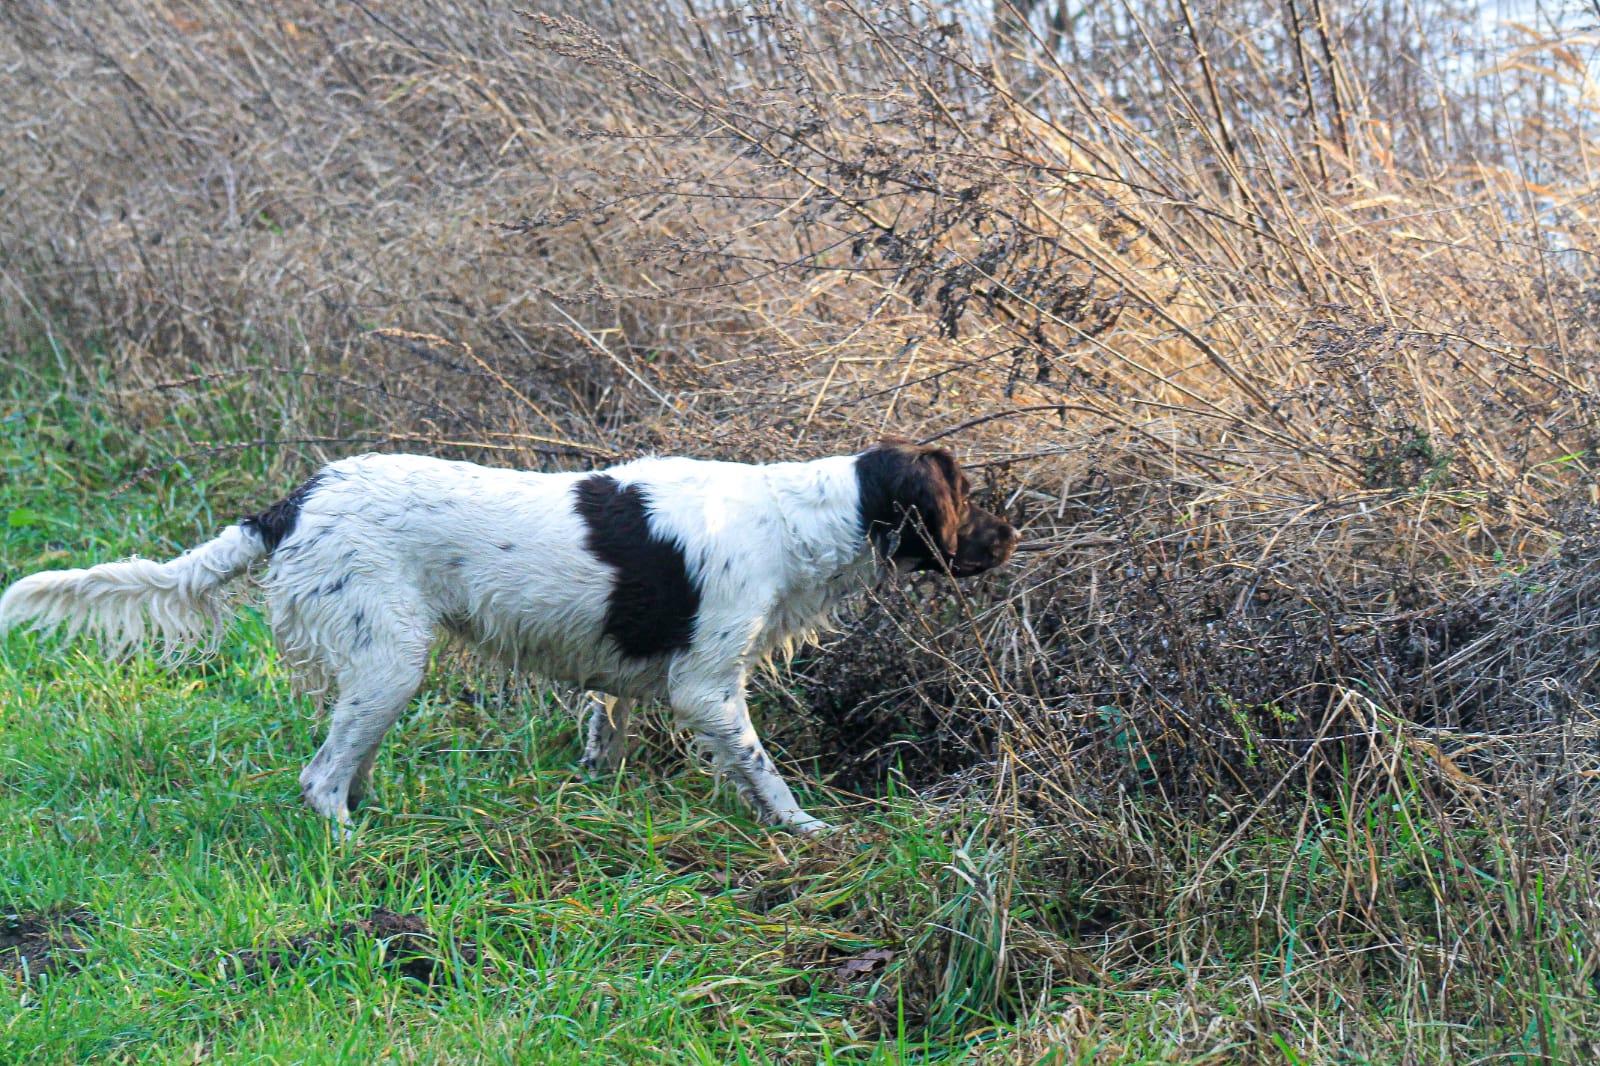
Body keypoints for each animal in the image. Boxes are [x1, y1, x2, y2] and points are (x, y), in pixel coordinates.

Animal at [0, 438, 1017, 832]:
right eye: (966, 499)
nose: (1013, 538)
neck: (801, 517)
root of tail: (291, 503)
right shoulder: (707, 687)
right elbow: (765, 773)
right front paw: (809, 831)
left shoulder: (628, 682)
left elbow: (605, 732)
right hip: (392, 659)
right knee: (319, 778)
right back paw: (358, 852)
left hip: (377, 668)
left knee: (345, 764)